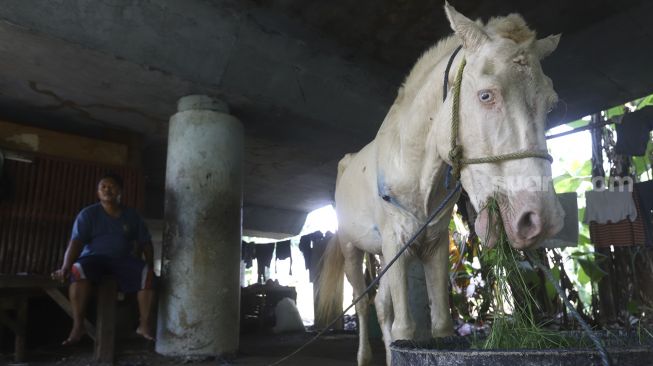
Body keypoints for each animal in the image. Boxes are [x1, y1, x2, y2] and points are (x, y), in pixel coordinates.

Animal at [314, 3, 560, 366]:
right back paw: (363, 356)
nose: (541, 219)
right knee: (362, 304)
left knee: (382, 307)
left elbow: (440, 325)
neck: (416, 171)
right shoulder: (396, 244)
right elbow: (404, 328)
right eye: (485, 95)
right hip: (352, 250)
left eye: (551, 103)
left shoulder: (434, 245)